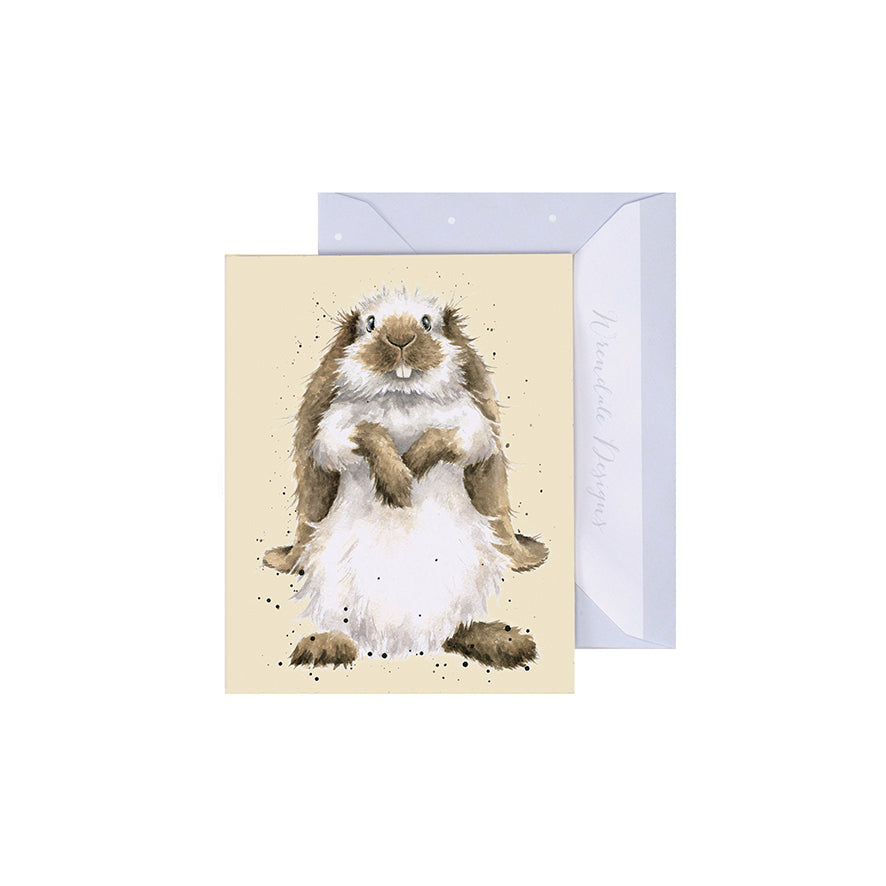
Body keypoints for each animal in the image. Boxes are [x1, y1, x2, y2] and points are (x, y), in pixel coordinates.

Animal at [263, 285, 547, 670]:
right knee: (343, 627)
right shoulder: (335, 432)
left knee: (454, 628)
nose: (400, 339)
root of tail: (402, 645)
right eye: (370, 323)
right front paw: (398, 486)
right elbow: (370, 433)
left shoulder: (470, 429)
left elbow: (442, 437)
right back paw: (323, 647)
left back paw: (505, 642)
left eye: (427, 323)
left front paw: (412, 468)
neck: (402, 397)